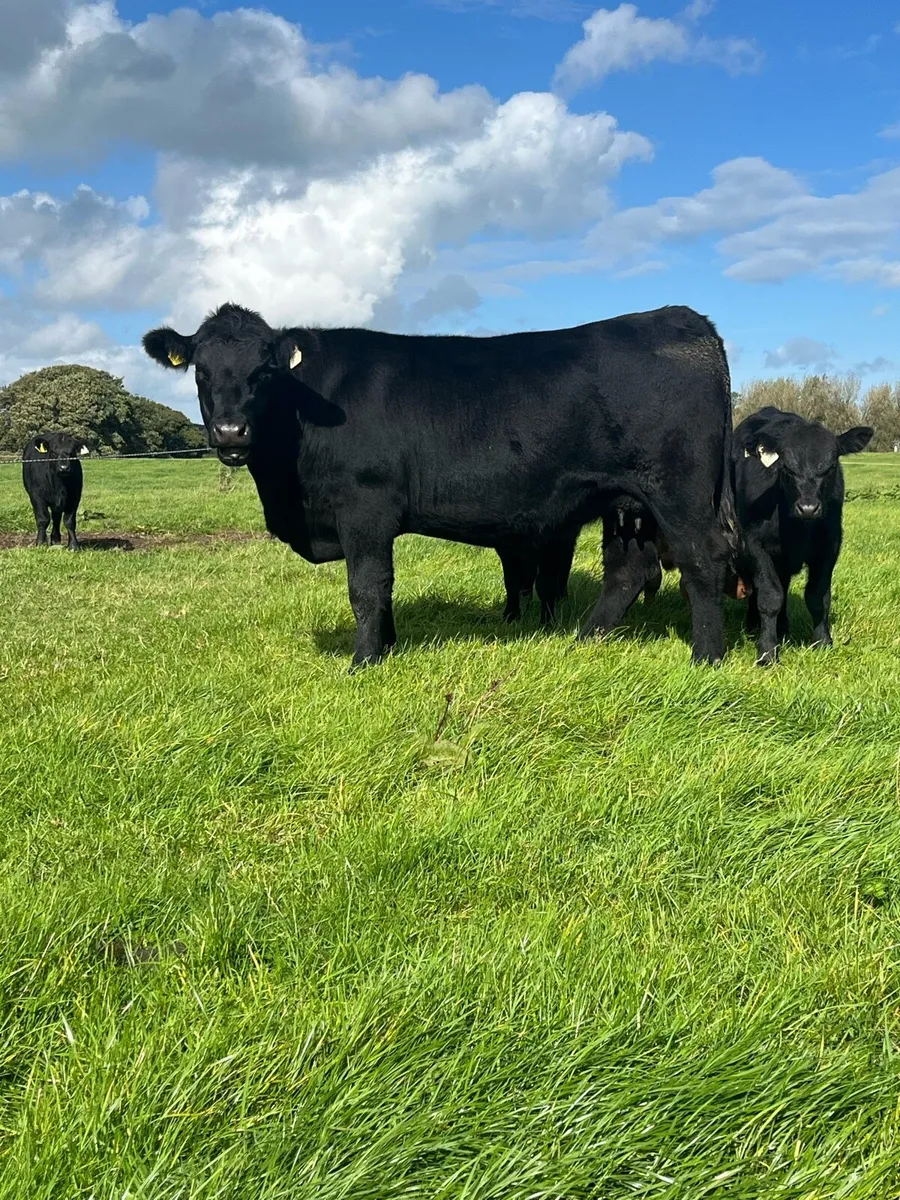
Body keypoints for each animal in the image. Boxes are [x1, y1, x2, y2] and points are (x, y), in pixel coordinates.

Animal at [143, 302, 737, 669]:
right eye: (200, 370)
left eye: (264, 370)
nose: (230, 432)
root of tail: (683, 320)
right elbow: (382, 589)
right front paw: (386, 647)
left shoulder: (364, 505)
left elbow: (367, 586)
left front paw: (364, 661)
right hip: (626, 501)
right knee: (628, 569)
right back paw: (584, 640)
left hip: (679, 490)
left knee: (703, 559)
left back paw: (705, 658)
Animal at [732, 406, 872, 665]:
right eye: (786, 468)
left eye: (830, 467)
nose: (808, 508)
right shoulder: (754, 545)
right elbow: (769, 597)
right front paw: (767, 652)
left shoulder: (830, 546)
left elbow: (818, 596)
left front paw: (823, 642)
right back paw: (754, 626)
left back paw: (782, 628)